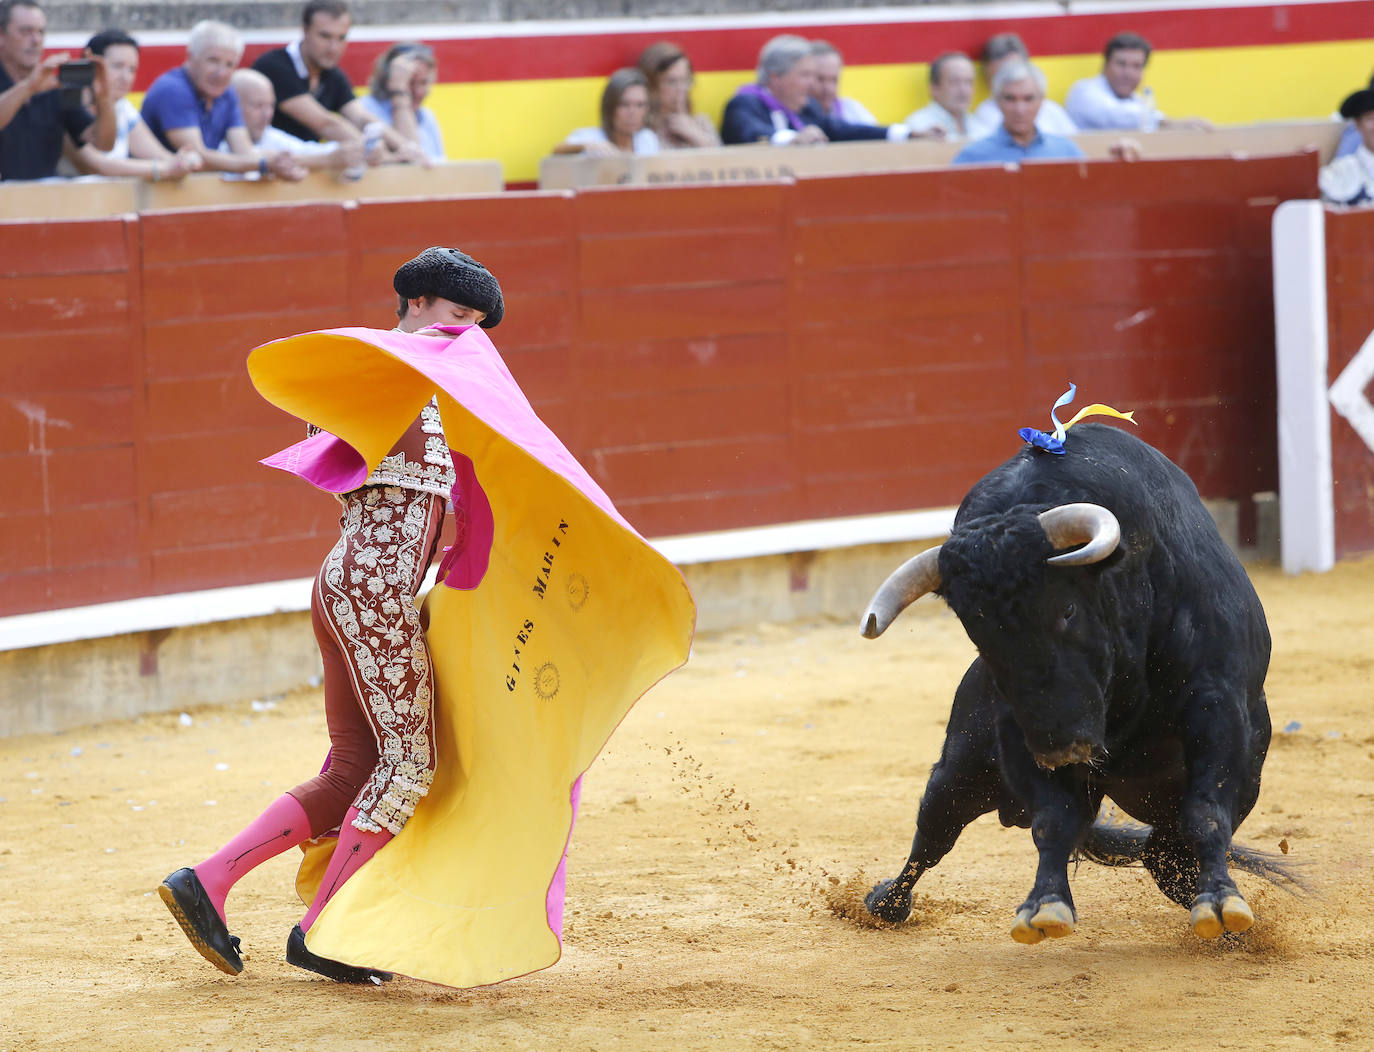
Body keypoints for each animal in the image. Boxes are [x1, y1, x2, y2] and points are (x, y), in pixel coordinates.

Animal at [857, 422, 1297, 944]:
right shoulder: (1016, 733)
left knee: (1165, 851)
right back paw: (886, 902)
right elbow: (1052, 823)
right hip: (963, 768)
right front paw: (1045, 907)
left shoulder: (1219, 708)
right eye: (978, 634)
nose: (1061, 747)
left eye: (1067, 610)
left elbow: (1206, 812)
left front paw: (1221, 902)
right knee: (935, 830)